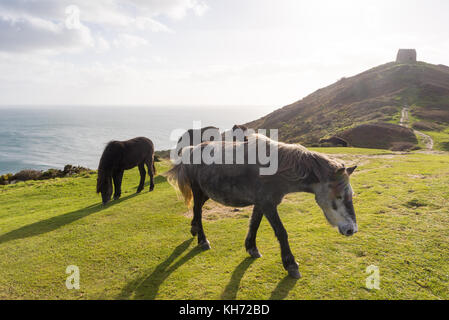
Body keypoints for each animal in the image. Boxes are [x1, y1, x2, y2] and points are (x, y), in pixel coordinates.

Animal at [164, 135, 356, 278]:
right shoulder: (268, 205)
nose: (351, 229)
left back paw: (194, 229)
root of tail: (191, 150)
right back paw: (202, 240)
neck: (276, 169)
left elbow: (254, 224)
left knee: (196, 212)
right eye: (339, 196)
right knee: (197, 210)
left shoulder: (261, 204)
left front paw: (252, 248)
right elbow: (281, 232)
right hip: (198, 191)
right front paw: (291, 264)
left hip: (205, 193)